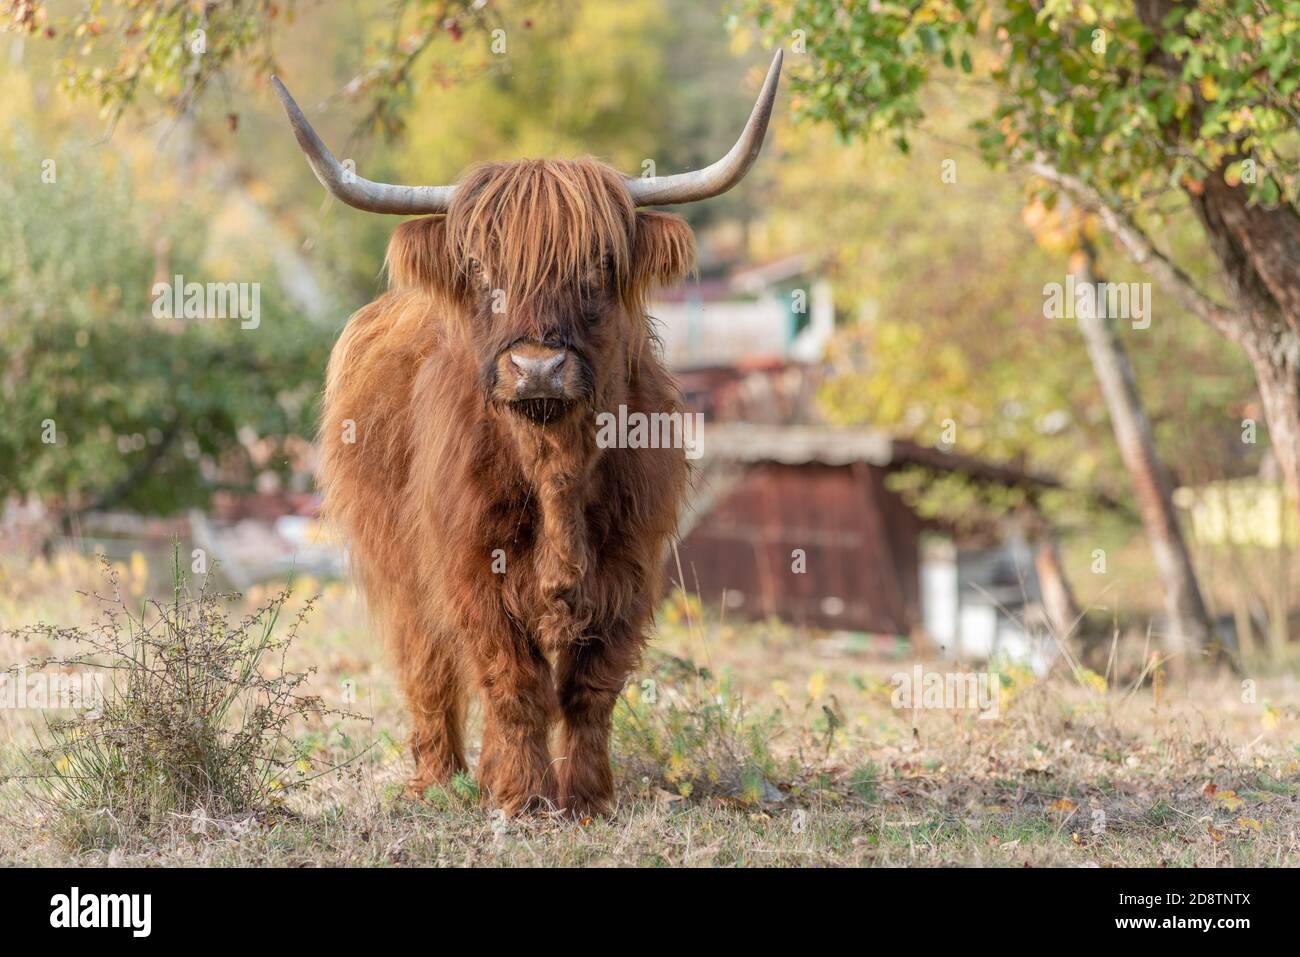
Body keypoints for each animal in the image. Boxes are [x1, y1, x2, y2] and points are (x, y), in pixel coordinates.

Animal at [273, 51, 782, 817]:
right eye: (483, 270)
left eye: (597, 269)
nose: (537, 365)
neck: (555, 467)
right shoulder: (468, 568)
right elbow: (511, 682)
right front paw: (519, 795)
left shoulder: (632, 567)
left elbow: (589, 689)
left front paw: (586, 797)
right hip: (397, 566)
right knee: (427, 669)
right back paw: (439, 779)